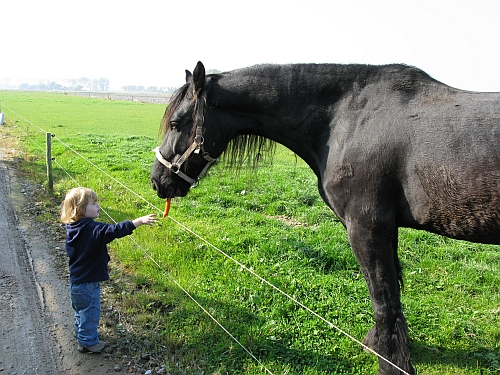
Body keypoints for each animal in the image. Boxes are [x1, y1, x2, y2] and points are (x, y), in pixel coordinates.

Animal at [149, 60, 500, 374]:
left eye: (176, 124)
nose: (156, 181)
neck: (347, 119)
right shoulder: (387, 230)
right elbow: (392, 297)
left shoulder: (366, 228)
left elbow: (384, 303)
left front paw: (392, 364)